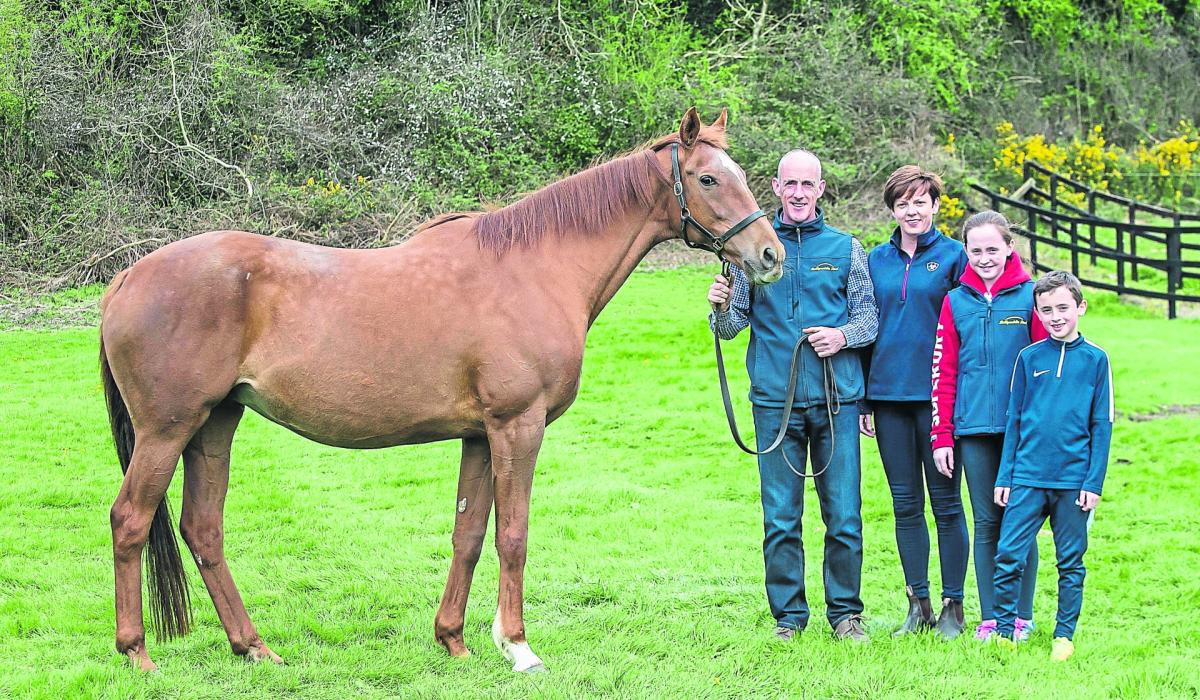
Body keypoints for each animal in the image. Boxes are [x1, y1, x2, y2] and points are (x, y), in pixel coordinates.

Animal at [99, 108, 784, 673]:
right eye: (708, 180)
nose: (771, 255)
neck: (535, 268)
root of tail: (127, 277)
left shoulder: (480, 436)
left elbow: (470, 534)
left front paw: (454, 639)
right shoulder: (517, 426)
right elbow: (513, 536)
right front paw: (518, 646)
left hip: (215, 424)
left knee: (203, 529)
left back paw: (253, 647)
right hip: (168, 430)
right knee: (130, 520)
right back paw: (136, 654)